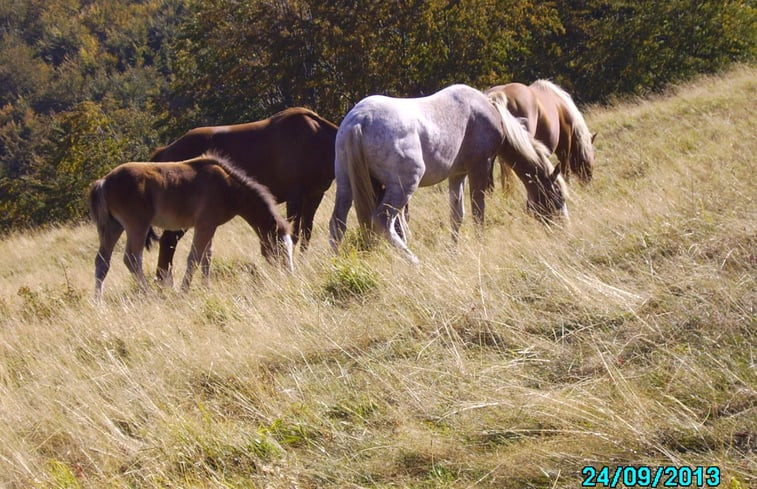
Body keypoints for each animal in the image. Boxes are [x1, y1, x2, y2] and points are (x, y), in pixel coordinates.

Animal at [87, 152, 290, 300]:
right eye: (280, 247)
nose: (288, 274)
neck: (228, 187)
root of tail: (104, 181)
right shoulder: (204, 225)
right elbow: (194, 258)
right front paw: (184, 290)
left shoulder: (210, 226)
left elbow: (207, 257)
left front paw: (206, 288)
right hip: (137, 226)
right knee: (132, 259)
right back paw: (148, 294)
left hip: (113, 227)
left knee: (102, 261)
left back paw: (98, 301)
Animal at [151, 105, 336, 284]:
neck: (317, 138)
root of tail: (165, 151)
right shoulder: (295, 197)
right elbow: (295, 234)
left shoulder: (315, 196)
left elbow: (306, 233)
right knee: (168, 241)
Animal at [326, 83, 568, 264]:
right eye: (558, 196)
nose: (563, 229)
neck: (487, 112)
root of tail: (359, 120)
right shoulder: (479, 167)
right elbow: (478, 212)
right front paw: (480, 245)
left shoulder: (457, 175)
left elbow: (457, 215)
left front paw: (454, 250)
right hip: (403, 186)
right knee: (383, 220)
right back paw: (413, 260)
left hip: (346, 184)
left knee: (338, 223)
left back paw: (336, 263)